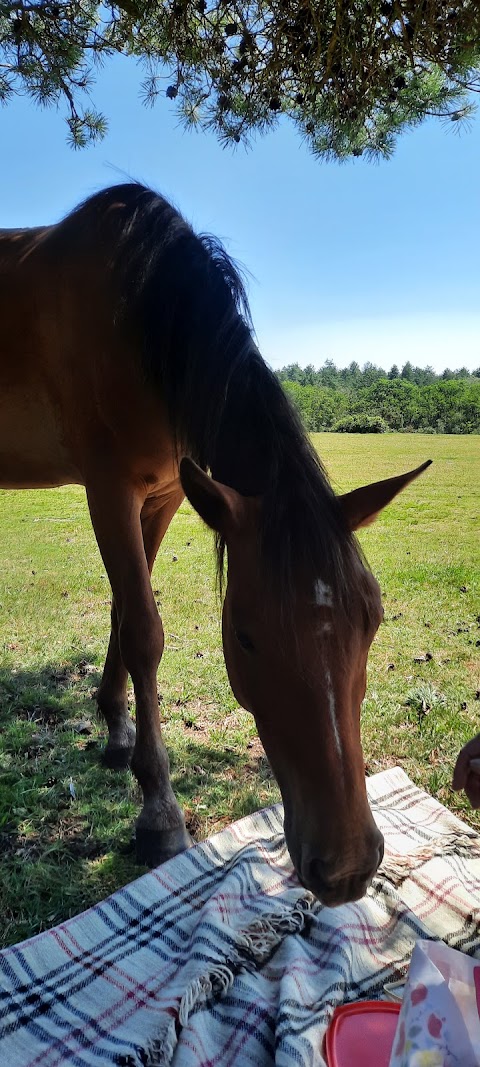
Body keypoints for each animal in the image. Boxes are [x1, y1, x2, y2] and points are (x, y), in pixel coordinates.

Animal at [0, 187, 428, 904]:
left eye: (372, 621)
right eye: (247, 638)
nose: (346, 867)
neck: (140, 312)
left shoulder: (166, 494)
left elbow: (124, 608)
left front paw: (117, 730)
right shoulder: (108, 489)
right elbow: (144, 630)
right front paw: (158, 812)